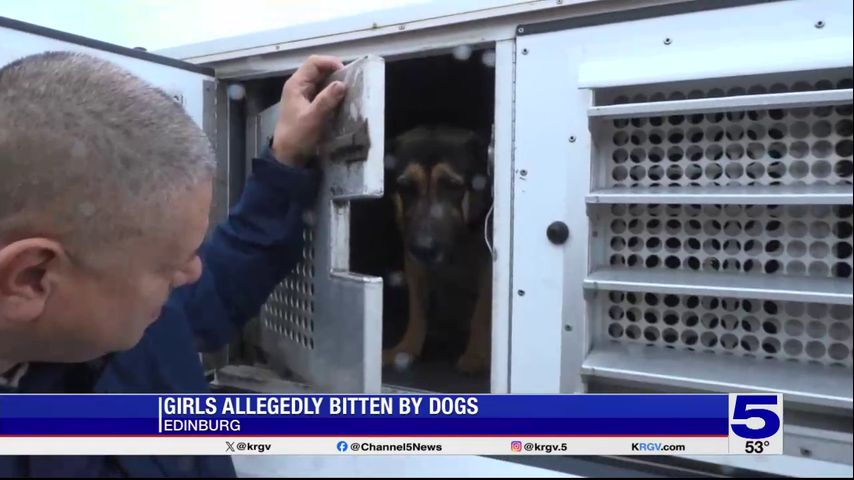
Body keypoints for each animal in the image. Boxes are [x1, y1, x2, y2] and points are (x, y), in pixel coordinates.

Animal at [382, 126, 494, 376]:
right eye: (405, 187)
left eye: (452, 186)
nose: (423, 248)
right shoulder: (414, 263)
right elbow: (417, 309)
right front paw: (406, 350)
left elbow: (481, 312)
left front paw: (476, 357)